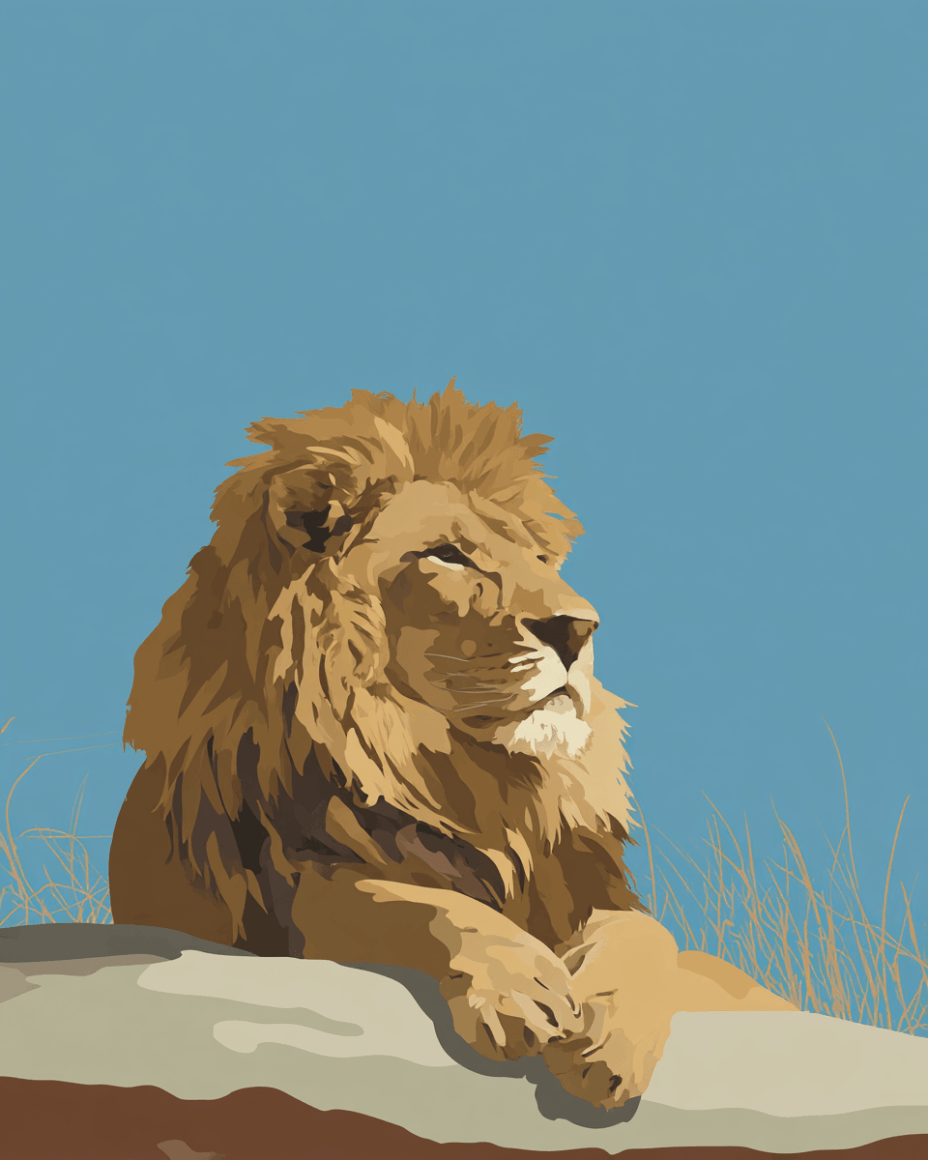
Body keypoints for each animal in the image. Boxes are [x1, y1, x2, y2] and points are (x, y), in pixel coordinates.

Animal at [109, 381, 794, 1109]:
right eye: (447, 554)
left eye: (538, 559)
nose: (581, 629)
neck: (466, 781)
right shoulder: (300, 892)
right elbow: (406, 901)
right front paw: (521, 990)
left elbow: (648, 934)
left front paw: (609, 1038)